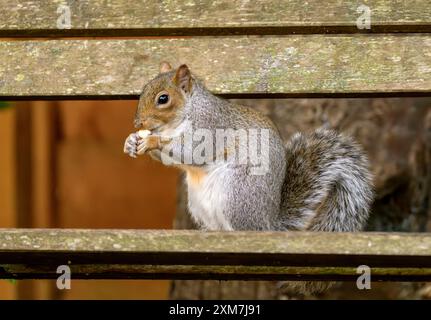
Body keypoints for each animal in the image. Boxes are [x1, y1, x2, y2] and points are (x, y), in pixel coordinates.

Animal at [124, 62, 374, 296]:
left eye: (163, 99)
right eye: (143, 89)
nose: (138, 123)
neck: (186, 112)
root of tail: (269, 224)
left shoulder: (211, 126)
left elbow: (192, 152)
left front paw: (152, 141)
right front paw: (131, 141)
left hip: (236, 193)